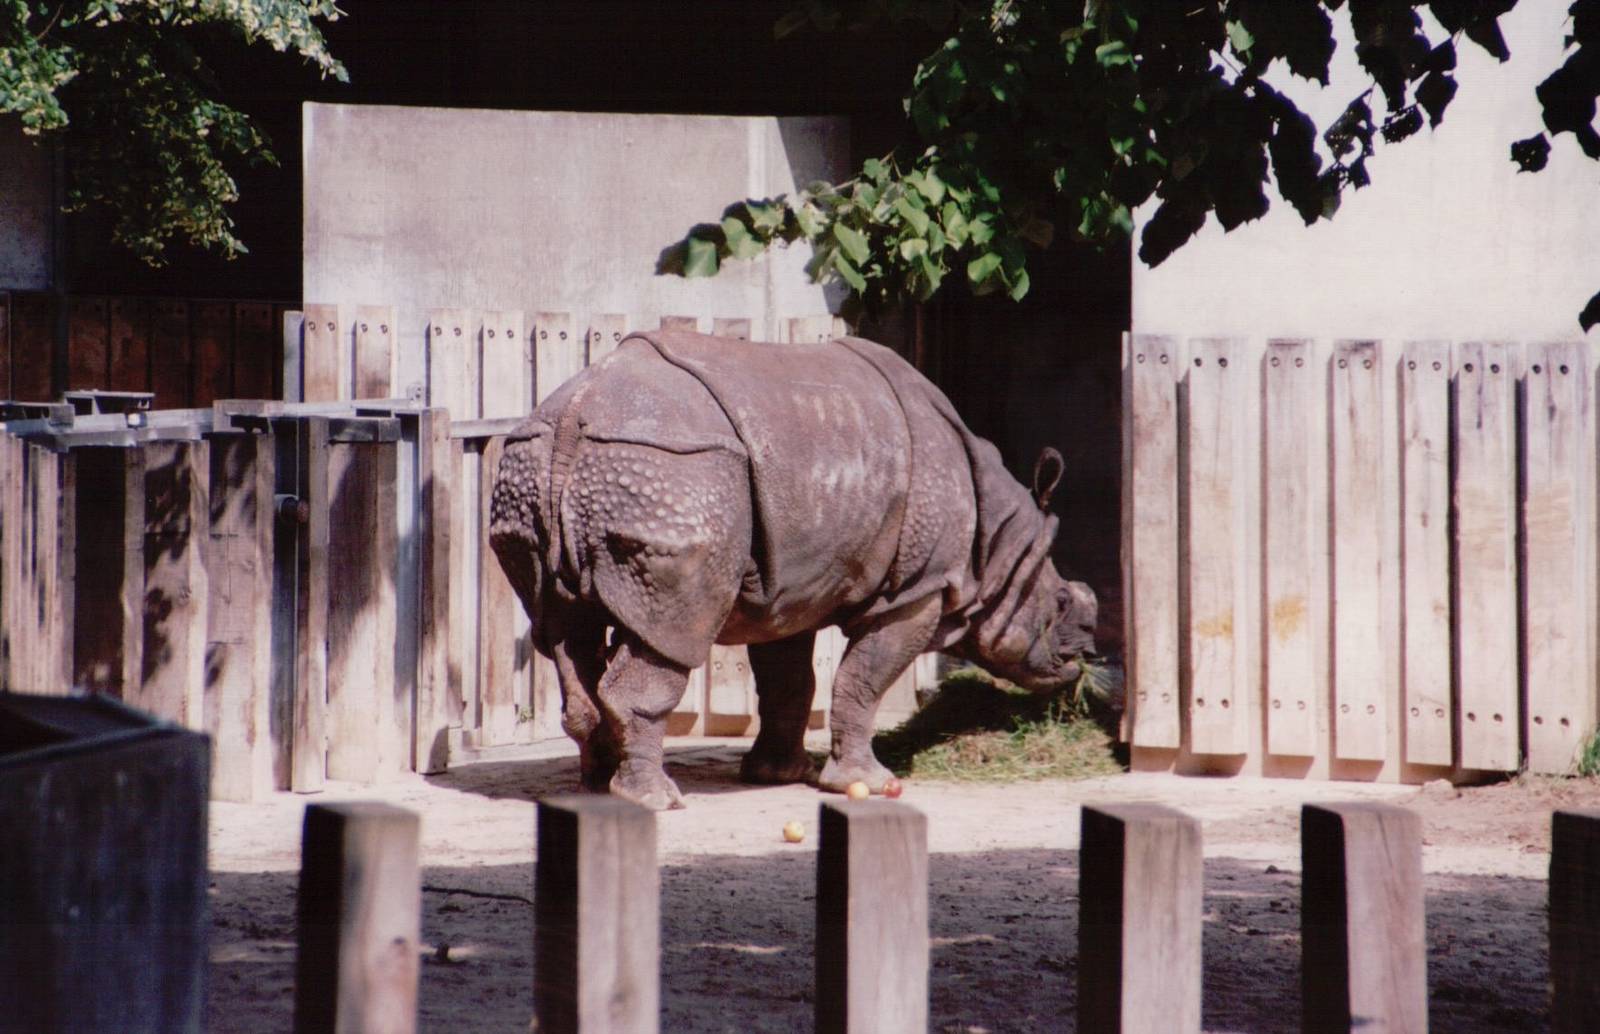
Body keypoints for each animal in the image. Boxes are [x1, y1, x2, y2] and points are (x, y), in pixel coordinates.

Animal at [489, 329, 1097, 810]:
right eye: (1062, 602)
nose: (1084, 655)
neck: (997, 544)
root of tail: (574, 417)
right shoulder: (916, 591)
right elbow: (862, 681)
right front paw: (868, 783)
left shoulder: (790, 589)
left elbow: (789, 682)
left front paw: (781, 775)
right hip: (676, 473)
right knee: (672, 632)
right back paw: (656, 800)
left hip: (539, 466)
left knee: (563, 632)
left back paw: (597, 789)